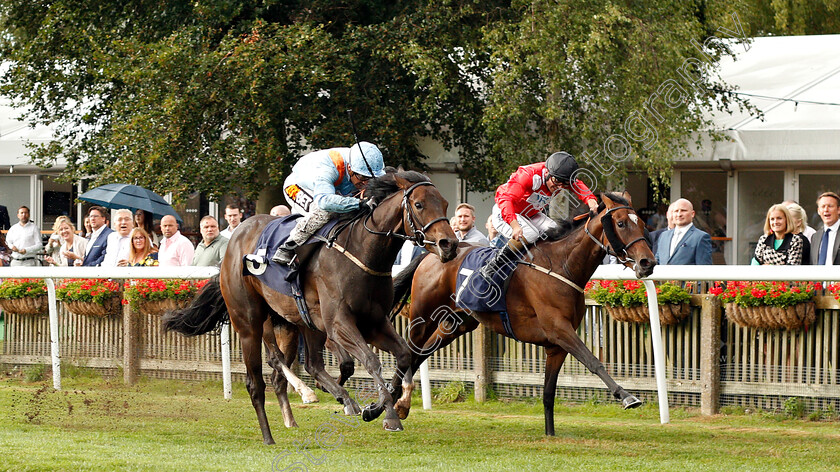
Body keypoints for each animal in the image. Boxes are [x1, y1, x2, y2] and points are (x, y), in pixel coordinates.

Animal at [161, 171, 456, 444]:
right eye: (419, 204)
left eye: (445, 204)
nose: (449, 244)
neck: (362, 250)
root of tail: (235, 237)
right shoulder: (339, 324)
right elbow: (370, 360)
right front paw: (391, 416)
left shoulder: (374, 322)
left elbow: (403, 356)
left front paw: (375, 408)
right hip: (250, 323)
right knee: (258, 380)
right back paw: (271, 433)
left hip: (303, 323)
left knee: (311, 364)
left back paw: (337, 400)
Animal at [390, 191, 652, 436]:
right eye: (621, 224)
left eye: (641, 223)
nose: (647, 262)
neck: (561, 265)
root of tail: (433, 253)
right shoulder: (559, 330)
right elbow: (593, 361)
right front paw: (627, 396)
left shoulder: (556, 346)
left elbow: (548, 392)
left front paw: (550, 433)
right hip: (424, 315)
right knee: (409, 352)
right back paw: (393, 402)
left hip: (455, 324)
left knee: (419, 354)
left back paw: (393, 405)